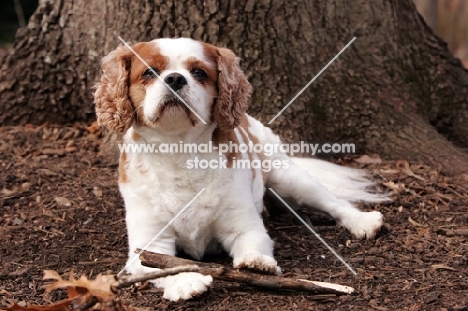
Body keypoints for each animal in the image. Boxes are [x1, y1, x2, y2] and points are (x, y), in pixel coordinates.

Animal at [93, 37, 390, 302]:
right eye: (149, 72)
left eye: (199, 73)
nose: (176, 79)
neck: (179, 149)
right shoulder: (148, 244)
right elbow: (161, 264)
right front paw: (185, 281)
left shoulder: (244, 227)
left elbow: (252, 244)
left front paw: (256, 262)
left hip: (289, 178)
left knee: (334, 202)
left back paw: (362, 222)